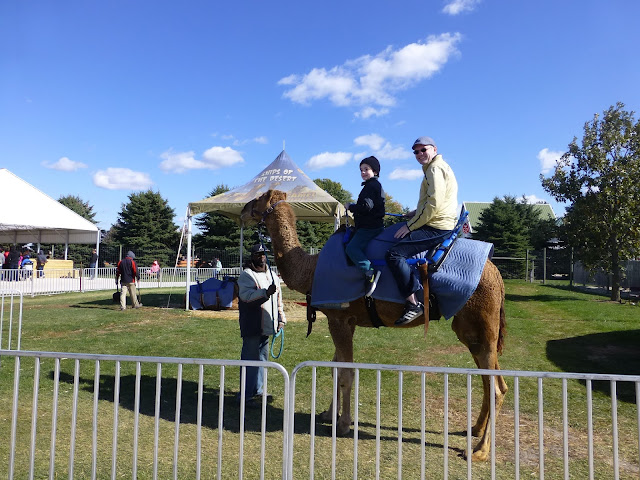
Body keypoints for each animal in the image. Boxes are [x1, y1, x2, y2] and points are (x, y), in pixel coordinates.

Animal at [240, 188, 504, 462]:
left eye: (259, 198)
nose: (242, 211)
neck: (310, 270)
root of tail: (496, 274)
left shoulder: (338, 318)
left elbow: (346, 373)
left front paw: (343, 425)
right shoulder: (347, 320)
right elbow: (335, 368)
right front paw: (328, 414)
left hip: (481, 321)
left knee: (496, 388)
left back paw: (480, 451)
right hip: (472, 330)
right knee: (492, 380)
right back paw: (475, 429)